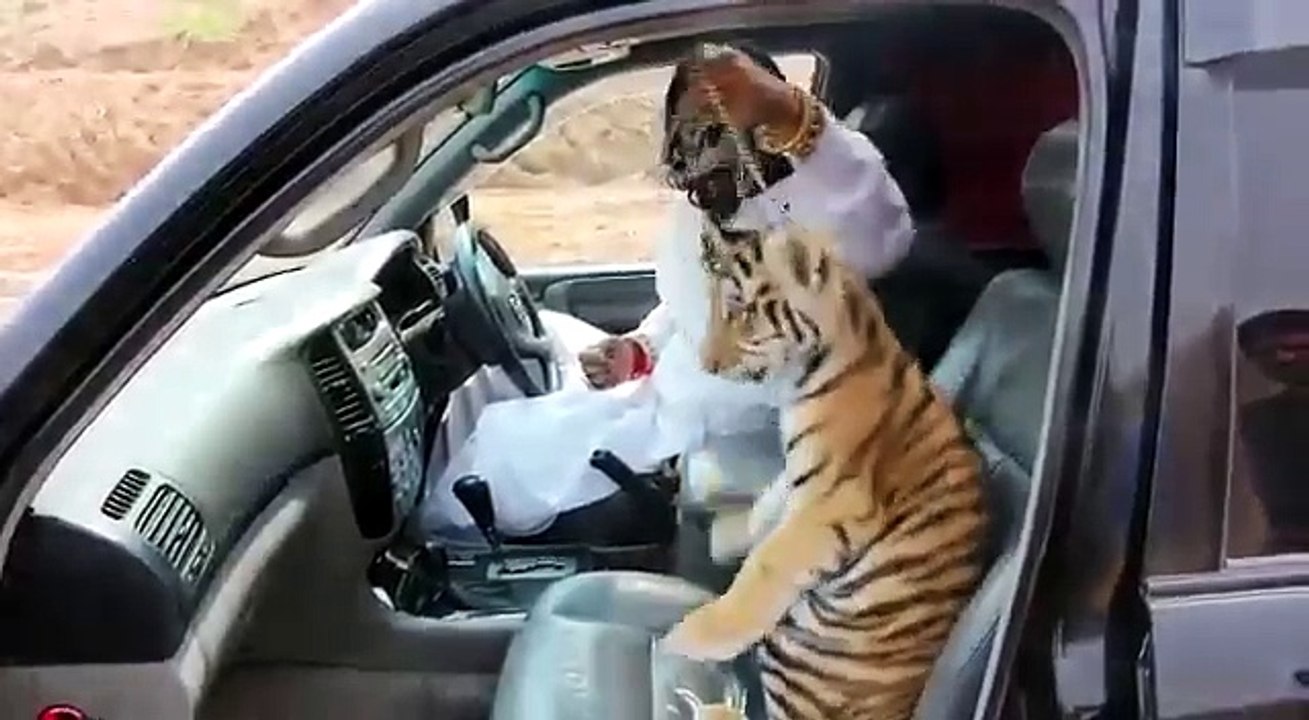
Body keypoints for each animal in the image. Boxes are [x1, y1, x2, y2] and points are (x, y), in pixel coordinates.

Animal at [660, 221, 989, 720]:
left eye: (741, 309)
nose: (707, 365)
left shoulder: (836, 501)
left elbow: (767, 562)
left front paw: (690, 636)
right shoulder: (797, 481)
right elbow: (766, 510)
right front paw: (725, 535)